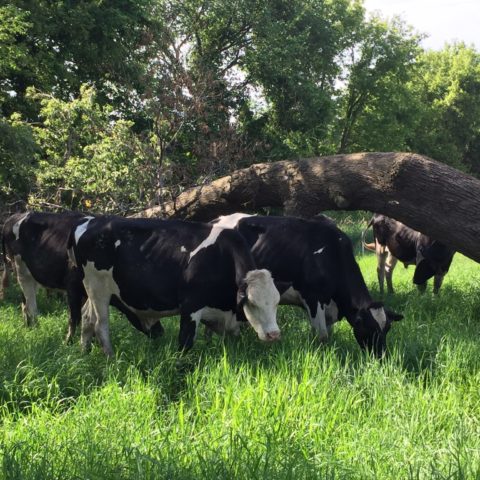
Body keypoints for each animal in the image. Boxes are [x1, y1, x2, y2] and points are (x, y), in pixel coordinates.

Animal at [1, 212, 85, 340]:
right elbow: (75, 316)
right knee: (29, 305)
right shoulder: (73, 284)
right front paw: (69, 341)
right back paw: (35, 332)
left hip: (31, 276)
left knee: (24, 302)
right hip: (21, 271)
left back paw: (28, 327)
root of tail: (14, 216)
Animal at [69, 216, 284, 354]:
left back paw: (84, 353)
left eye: (276, 303)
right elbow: (185, 342)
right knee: (100, 325)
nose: (274, 334)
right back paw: (110, 358)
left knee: (87, 318)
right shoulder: (191, 305)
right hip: (98, 289)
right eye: (252, 303)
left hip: (92, 290)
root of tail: (90, 221)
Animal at [212, 214, 404, 356]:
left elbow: (327, 333)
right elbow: (322, 336)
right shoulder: (313, 298)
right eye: (369, 328)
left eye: (387, 329)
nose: (381, 356)